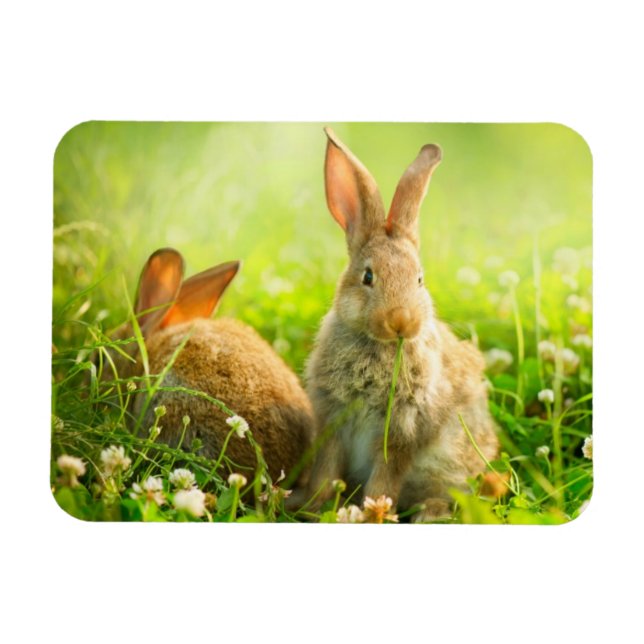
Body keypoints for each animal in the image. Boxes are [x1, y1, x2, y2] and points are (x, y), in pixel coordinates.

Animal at [299, 128, 499, 522]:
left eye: (419, 279)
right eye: (368, 277)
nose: (401, 321)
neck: (380, 346)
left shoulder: (403, 432)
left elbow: (385, 479)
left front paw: (373, 513)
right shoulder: (333, 420)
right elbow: (327, 471)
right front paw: (316, 506)